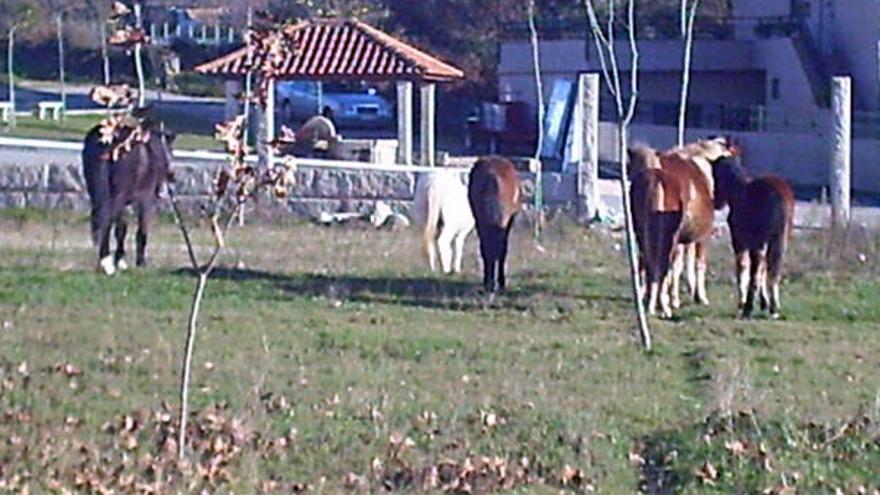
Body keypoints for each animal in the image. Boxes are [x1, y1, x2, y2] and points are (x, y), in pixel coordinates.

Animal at [83, 119, 176, 276]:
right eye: (170, 149)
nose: (171, 176)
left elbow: (121, 229)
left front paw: (120, 260)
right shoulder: (146, 199)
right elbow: (141, 230)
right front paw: (141, 262)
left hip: (99, 192)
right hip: (118, 196)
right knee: (106, 220)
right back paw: (106, 263)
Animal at [712, 153, 796, 320]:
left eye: (715, 175)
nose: (715, 202)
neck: (739, 193)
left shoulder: (741, 243)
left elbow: (743, 269)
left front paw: (742, 303)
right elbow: (762, 269)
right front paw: (764, 303)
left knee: (756, 273)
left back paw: (748, 308)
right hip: (779, 242)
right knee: (773, 271)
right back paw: (774, 308)